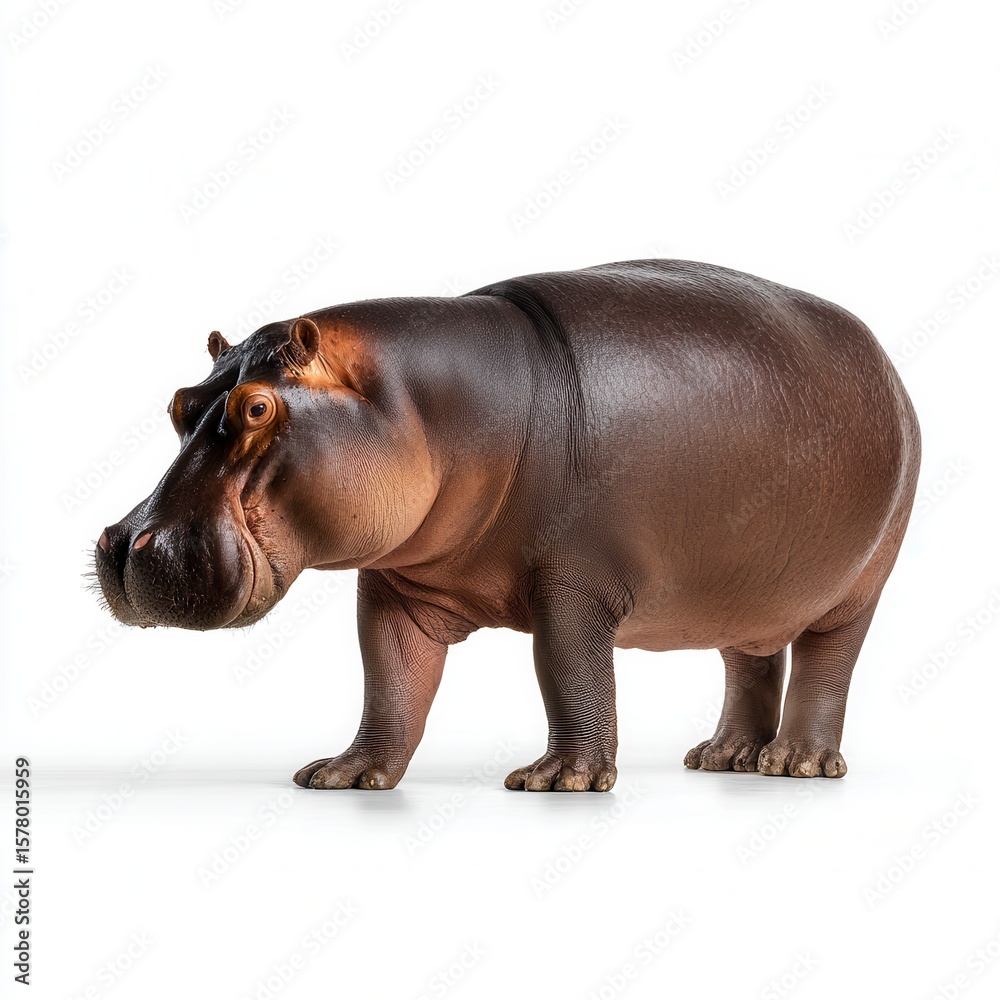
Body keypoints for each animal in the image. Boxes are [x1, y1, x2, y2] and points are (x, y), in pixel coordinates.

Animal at [93, 259, 920, 791]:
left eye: (259, 407)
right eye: (178, 403)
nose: (129, 545)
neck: (427, 406)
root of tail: (887, 365)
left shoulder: (576, 584)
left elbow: (569, 670)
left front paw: (560, 781)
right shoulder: (395, 588)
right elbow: (389, 677)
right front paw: (344, 774)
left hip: (860, 585)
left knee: (826, 665)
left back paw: (797, 764)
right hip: (742, 585)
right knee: (749, 659)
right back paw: (723, 758)